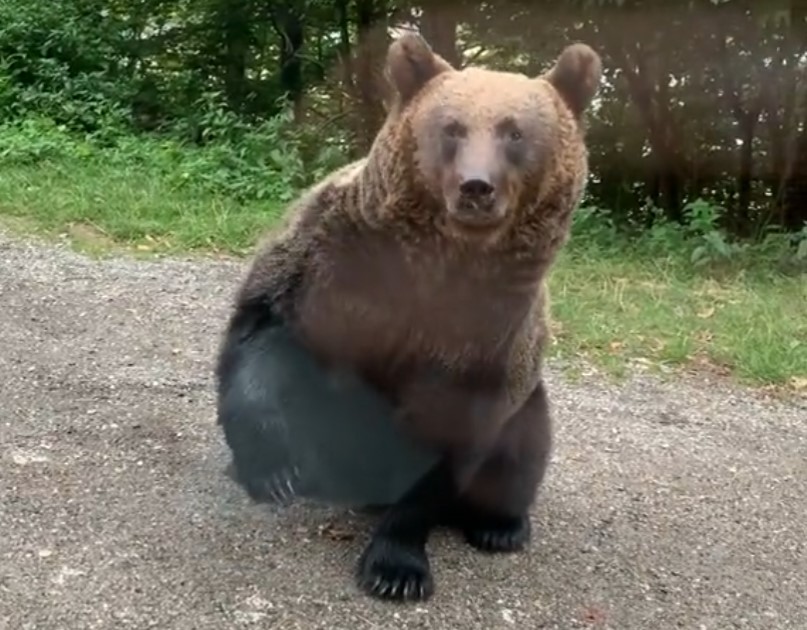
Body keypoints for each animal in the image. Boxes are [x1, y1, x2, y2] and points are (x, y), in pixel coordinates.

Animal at [215, 32, 602, 602]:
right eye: (453, 127)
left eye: (514, 131)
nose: (476, 187)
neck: (438, 262)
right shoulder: (329, 268)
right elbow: (264, 339)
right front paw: (271, 470)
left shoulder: (483, 337)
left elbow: (446, 443)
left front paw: (396, 567)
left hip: (526, 399)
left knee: (525, 445)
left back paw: (501, 525)